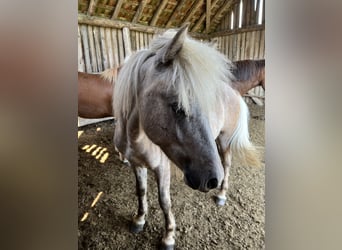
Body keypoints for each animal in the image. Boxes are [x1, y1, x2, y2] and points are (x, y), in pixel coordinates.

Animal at [111, 24, 260, 249]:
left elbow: (164, 201)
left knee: (226, 164)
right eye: (177, 106)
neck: (135, 137)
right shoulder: (136, 164)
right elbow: (141, 191)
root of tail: (234, 93)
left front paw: (168, 236)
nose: (211, 180)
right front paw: (139, 220)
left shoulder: (162, 168)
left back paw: (221, 195)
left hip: (224, 140)